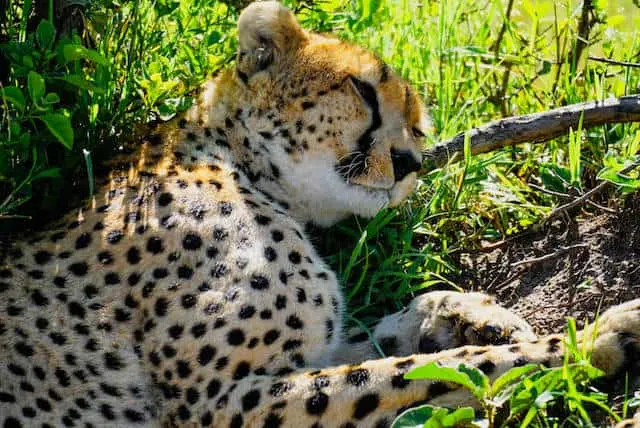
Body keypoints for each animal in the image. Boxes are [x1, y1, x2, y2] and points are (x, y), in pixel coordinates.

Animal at [1, 1, 640, 426]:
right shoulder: (219, 401)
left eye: (418, 126)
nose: (410, 161)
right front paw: (593, 339)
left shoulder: (297, 358)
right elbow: (424, 371)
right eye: (362, 90)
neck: (241, 165)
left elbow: (382, 343)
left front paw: (471, 312)